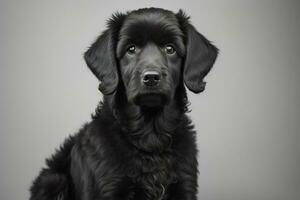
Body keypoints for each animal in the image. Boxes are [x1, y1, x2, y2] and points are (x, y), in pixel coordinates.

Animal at [29, 7, 218, 200]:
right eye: (131, 49)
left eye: (170, 49)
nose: (151, 77)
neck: (150, 135)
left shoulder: (185, 185)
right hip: (54, 180)